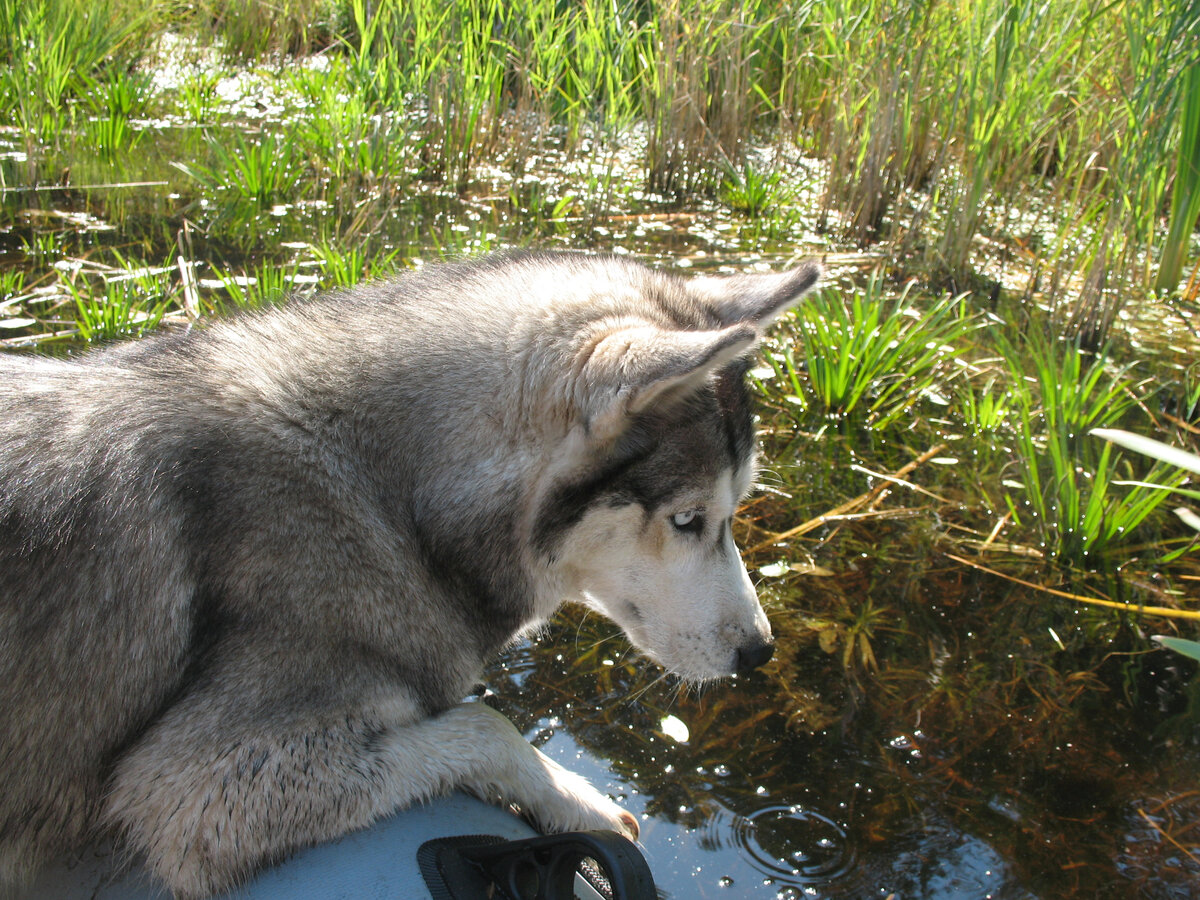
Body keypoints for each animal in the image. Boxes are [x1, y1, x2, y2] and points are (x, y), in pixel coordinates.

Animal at [0, 250, 820, 897]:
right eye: (686, 520)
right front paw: (576, 800)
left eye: (735, 508)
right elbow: (485, 723)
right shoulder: (188, 797)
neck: (388, 496)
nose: (760, 652)